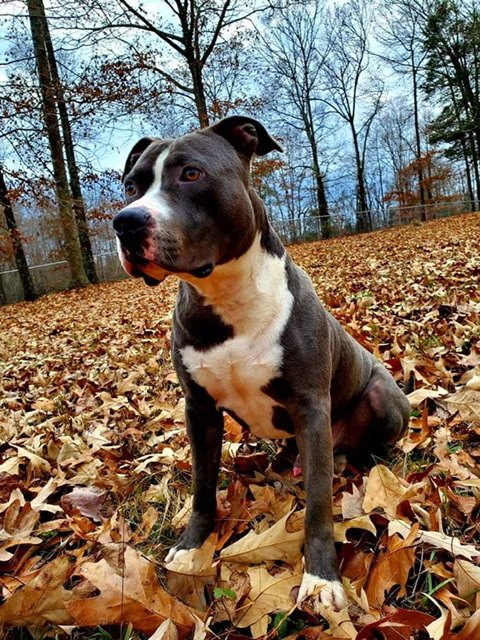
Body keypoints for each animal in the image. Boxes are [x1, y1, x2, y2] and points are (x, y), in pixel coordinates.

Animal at [112, 115, 408, 608]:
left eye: (190, 173)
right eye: (132, 186)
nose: (125, 221)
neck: (225, 295)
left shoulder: (310, 406)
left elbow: (319, 506)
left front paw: (322, 578)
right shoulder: (199, 409)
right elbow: (202, 486)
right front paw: (191, 547)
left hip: (382, 397)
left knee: (362, 449)